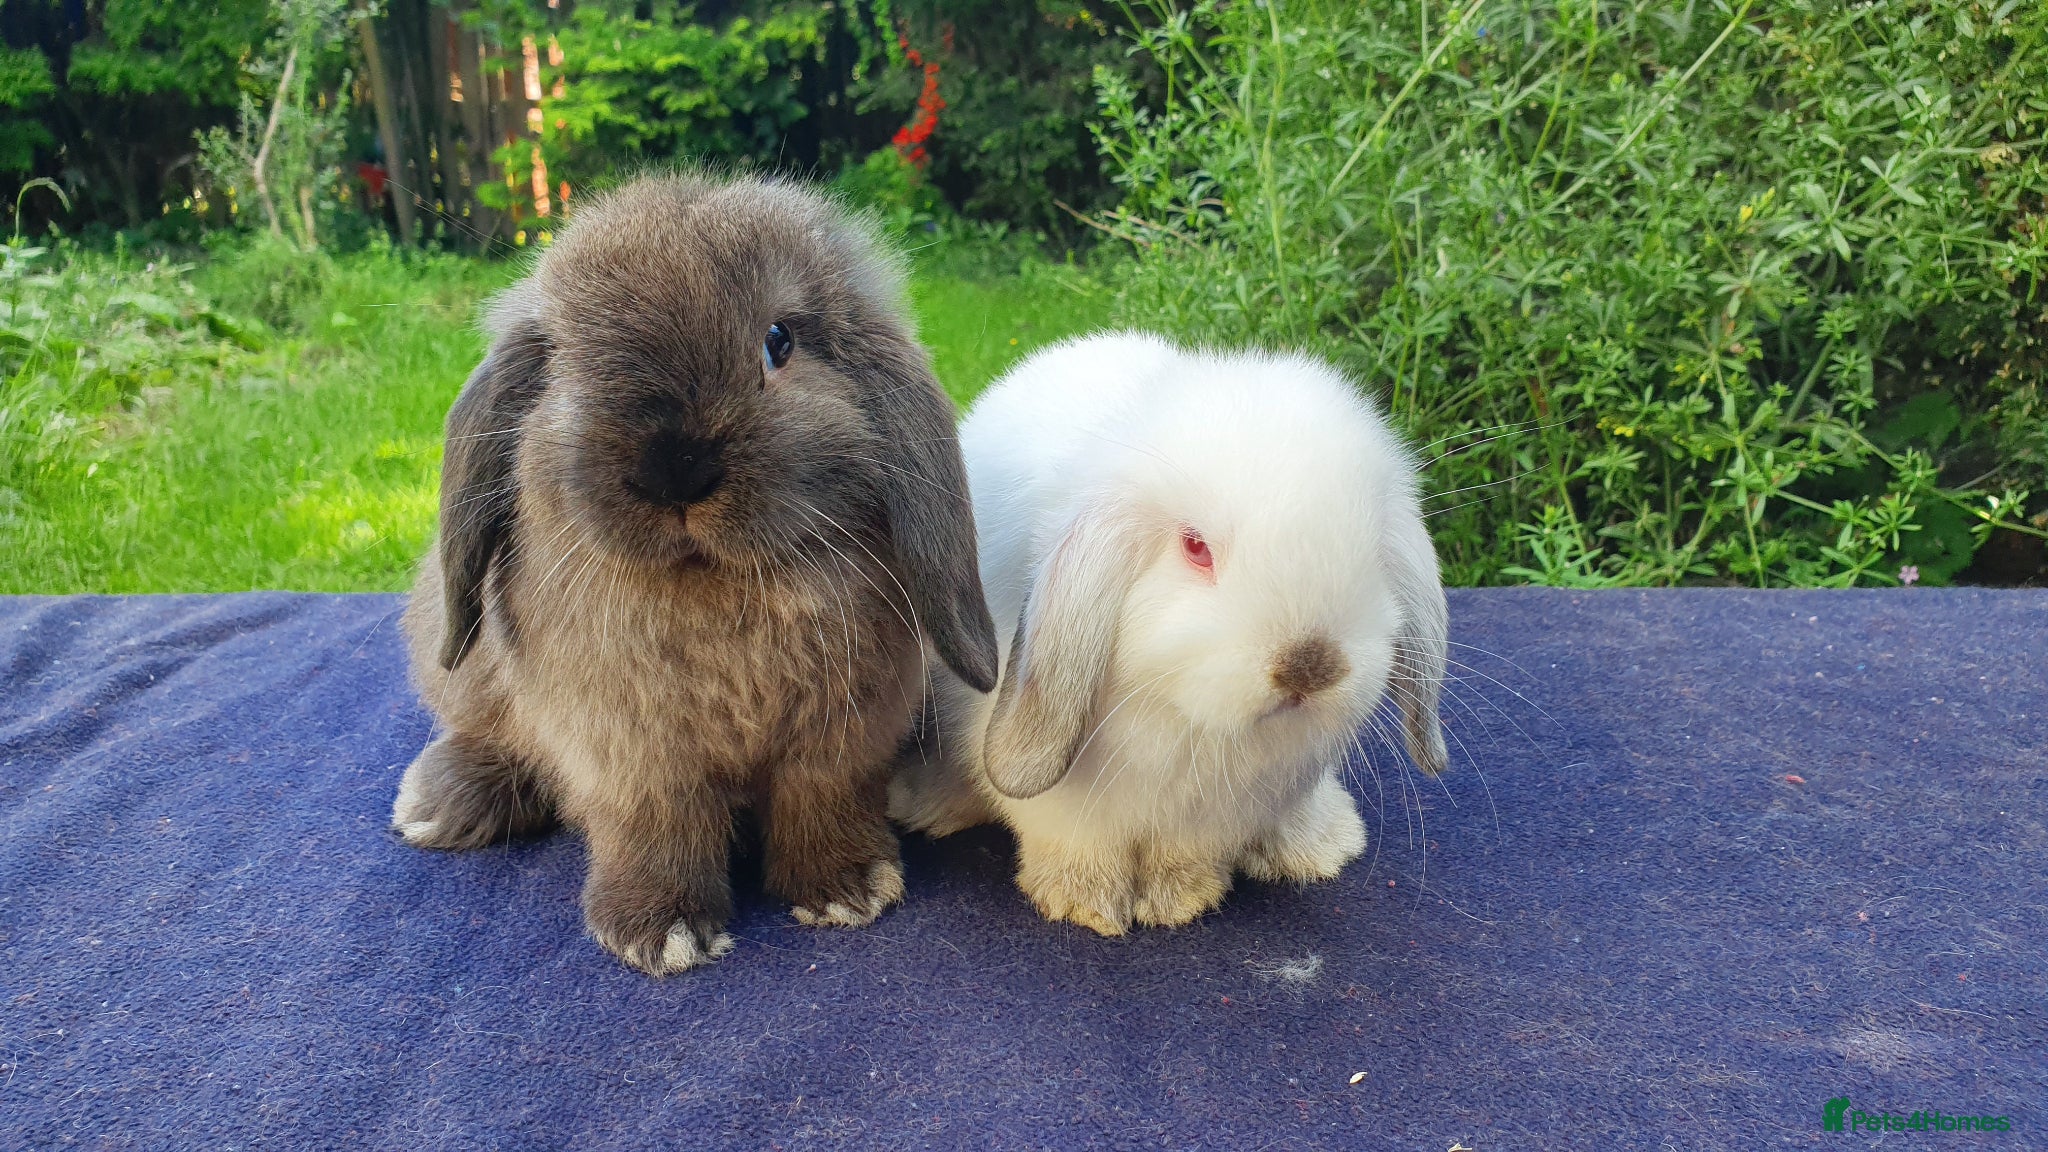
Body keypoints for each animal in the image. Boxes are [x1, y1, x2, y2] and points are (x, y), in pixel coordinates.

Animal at [393, 173, 998, 975]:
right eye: (566, 364)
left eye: (779, 341)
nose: (675, 467)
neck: (712, 588)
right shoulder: (633, 753)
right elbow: (656, 825)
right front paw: (659, 931)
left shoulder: (840, 735)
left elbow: (823, 800)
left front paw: (847, 889)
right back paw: (439, 804)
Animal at [890, 331, 1447, 936]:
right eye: (1195, 547)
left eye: (1368, 551)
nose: (1310, 666)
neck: (1184, 718)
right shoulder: (1061, 804)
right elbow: (1076, 845)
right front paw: (1086, 903)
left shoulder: (1225, 811)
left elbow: (1187, 854)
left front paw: (1178, 900)